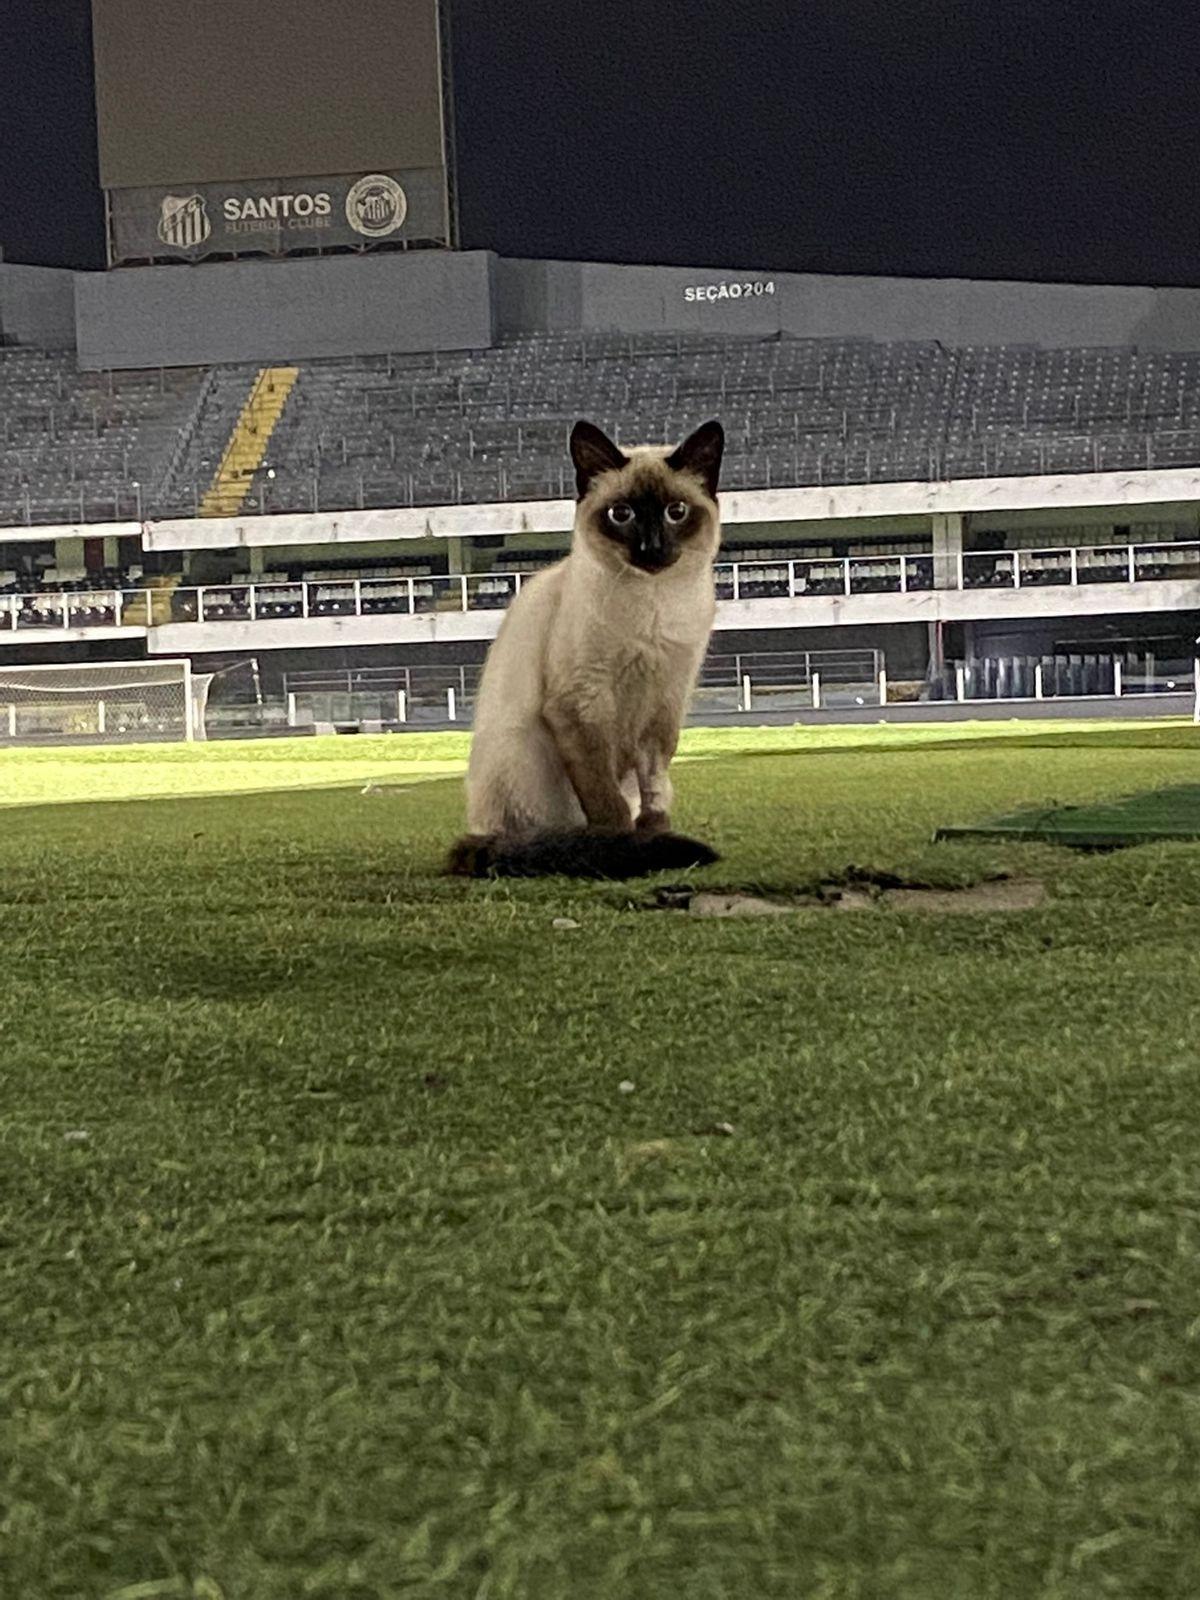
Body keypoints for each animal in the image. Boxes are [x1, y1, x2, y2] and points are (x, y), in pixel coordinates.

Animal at [444, 419, 720, 883]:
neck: (653, 605)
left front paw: (654, 835)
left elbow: (655, 790)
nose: (651, 549)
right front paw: (625, 845)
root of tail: (478, 833)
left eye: (676, 512)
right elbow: (606, 800)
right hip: (525, 750)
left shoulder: (664, 705)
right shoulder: (581, 705)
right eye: (621, 514)